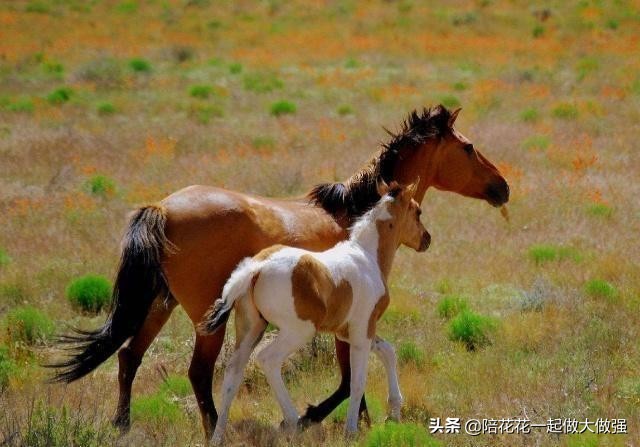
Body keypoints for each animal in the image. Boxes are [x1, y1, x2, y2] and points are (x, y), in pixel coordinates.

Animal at [199, 180, 429, 443]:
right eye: (417, 211)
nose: (426, 239)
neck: (367, 256)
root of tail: (257, 267)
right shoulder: (362, 330)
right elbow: (358, 381)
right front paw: (352, 430)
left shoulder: (350, 332)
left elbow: (388, 352)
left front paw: (394, 412)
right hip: (298, 331)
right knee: (268, 359)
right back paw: (294, 422)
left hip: (250, 329)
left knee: (232, 375)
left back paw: (217, 437)